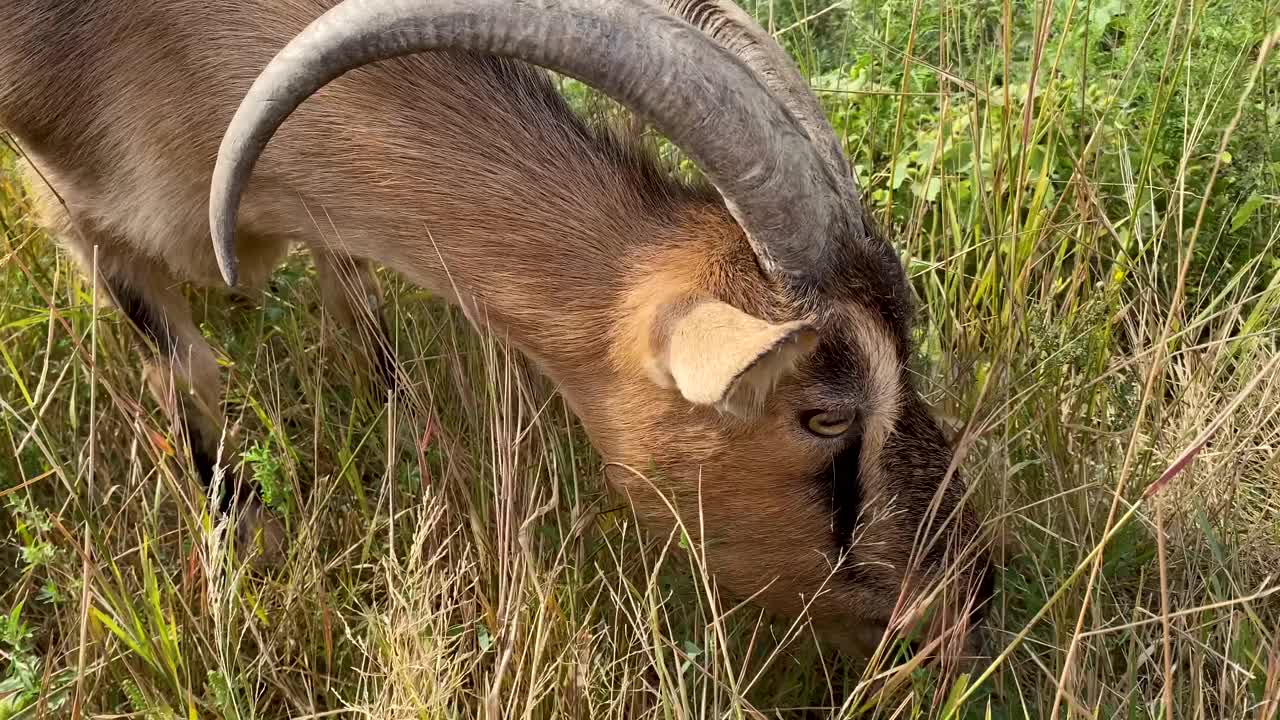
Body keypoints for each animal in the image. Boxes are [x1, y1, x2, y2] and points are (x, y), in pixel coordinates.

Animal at [0, 0, 993, 661]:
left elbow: (364, 322)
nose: (969, 602)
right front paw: (245, 551)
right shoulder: (78, 212)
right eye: (823, 415)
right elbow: (190, 377)